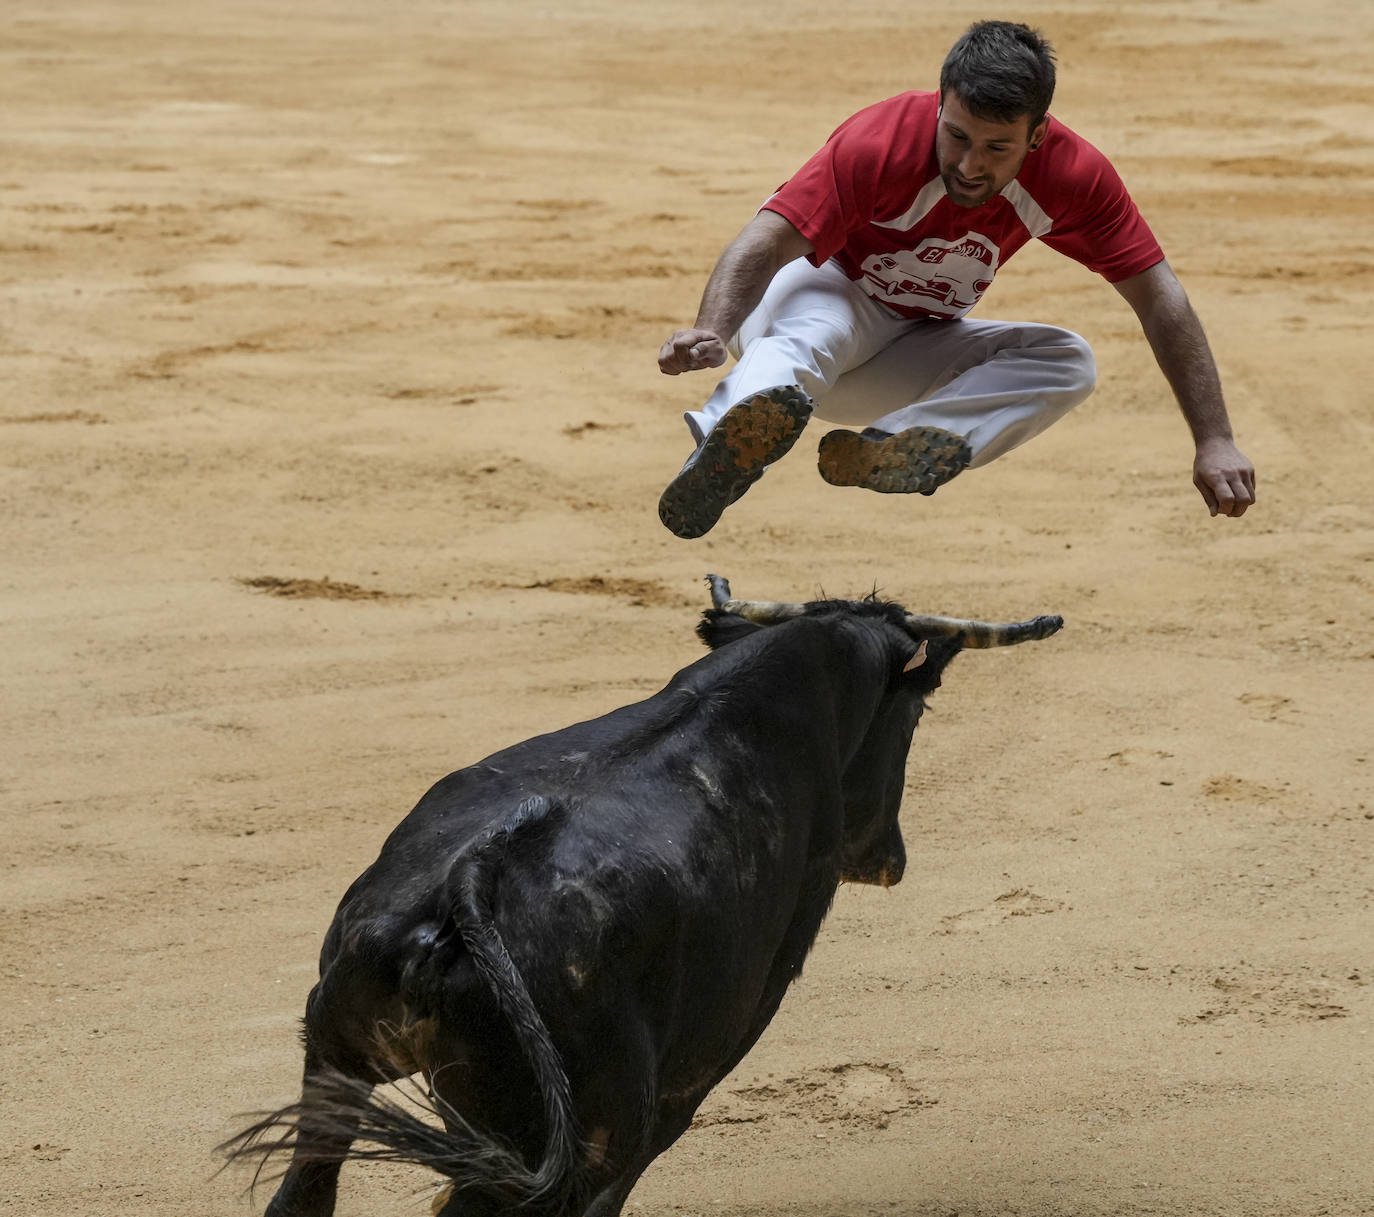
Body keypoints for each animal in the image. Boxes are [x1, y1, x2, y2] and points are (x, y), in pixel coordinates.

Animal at [225, 576, 1060, 1214]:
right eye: (917, 714)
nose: (892, 858)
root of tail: (456, 900)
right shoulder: (726, 1030)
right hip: (562, 1134)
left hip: (335, 1055)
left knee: (307, 1189)